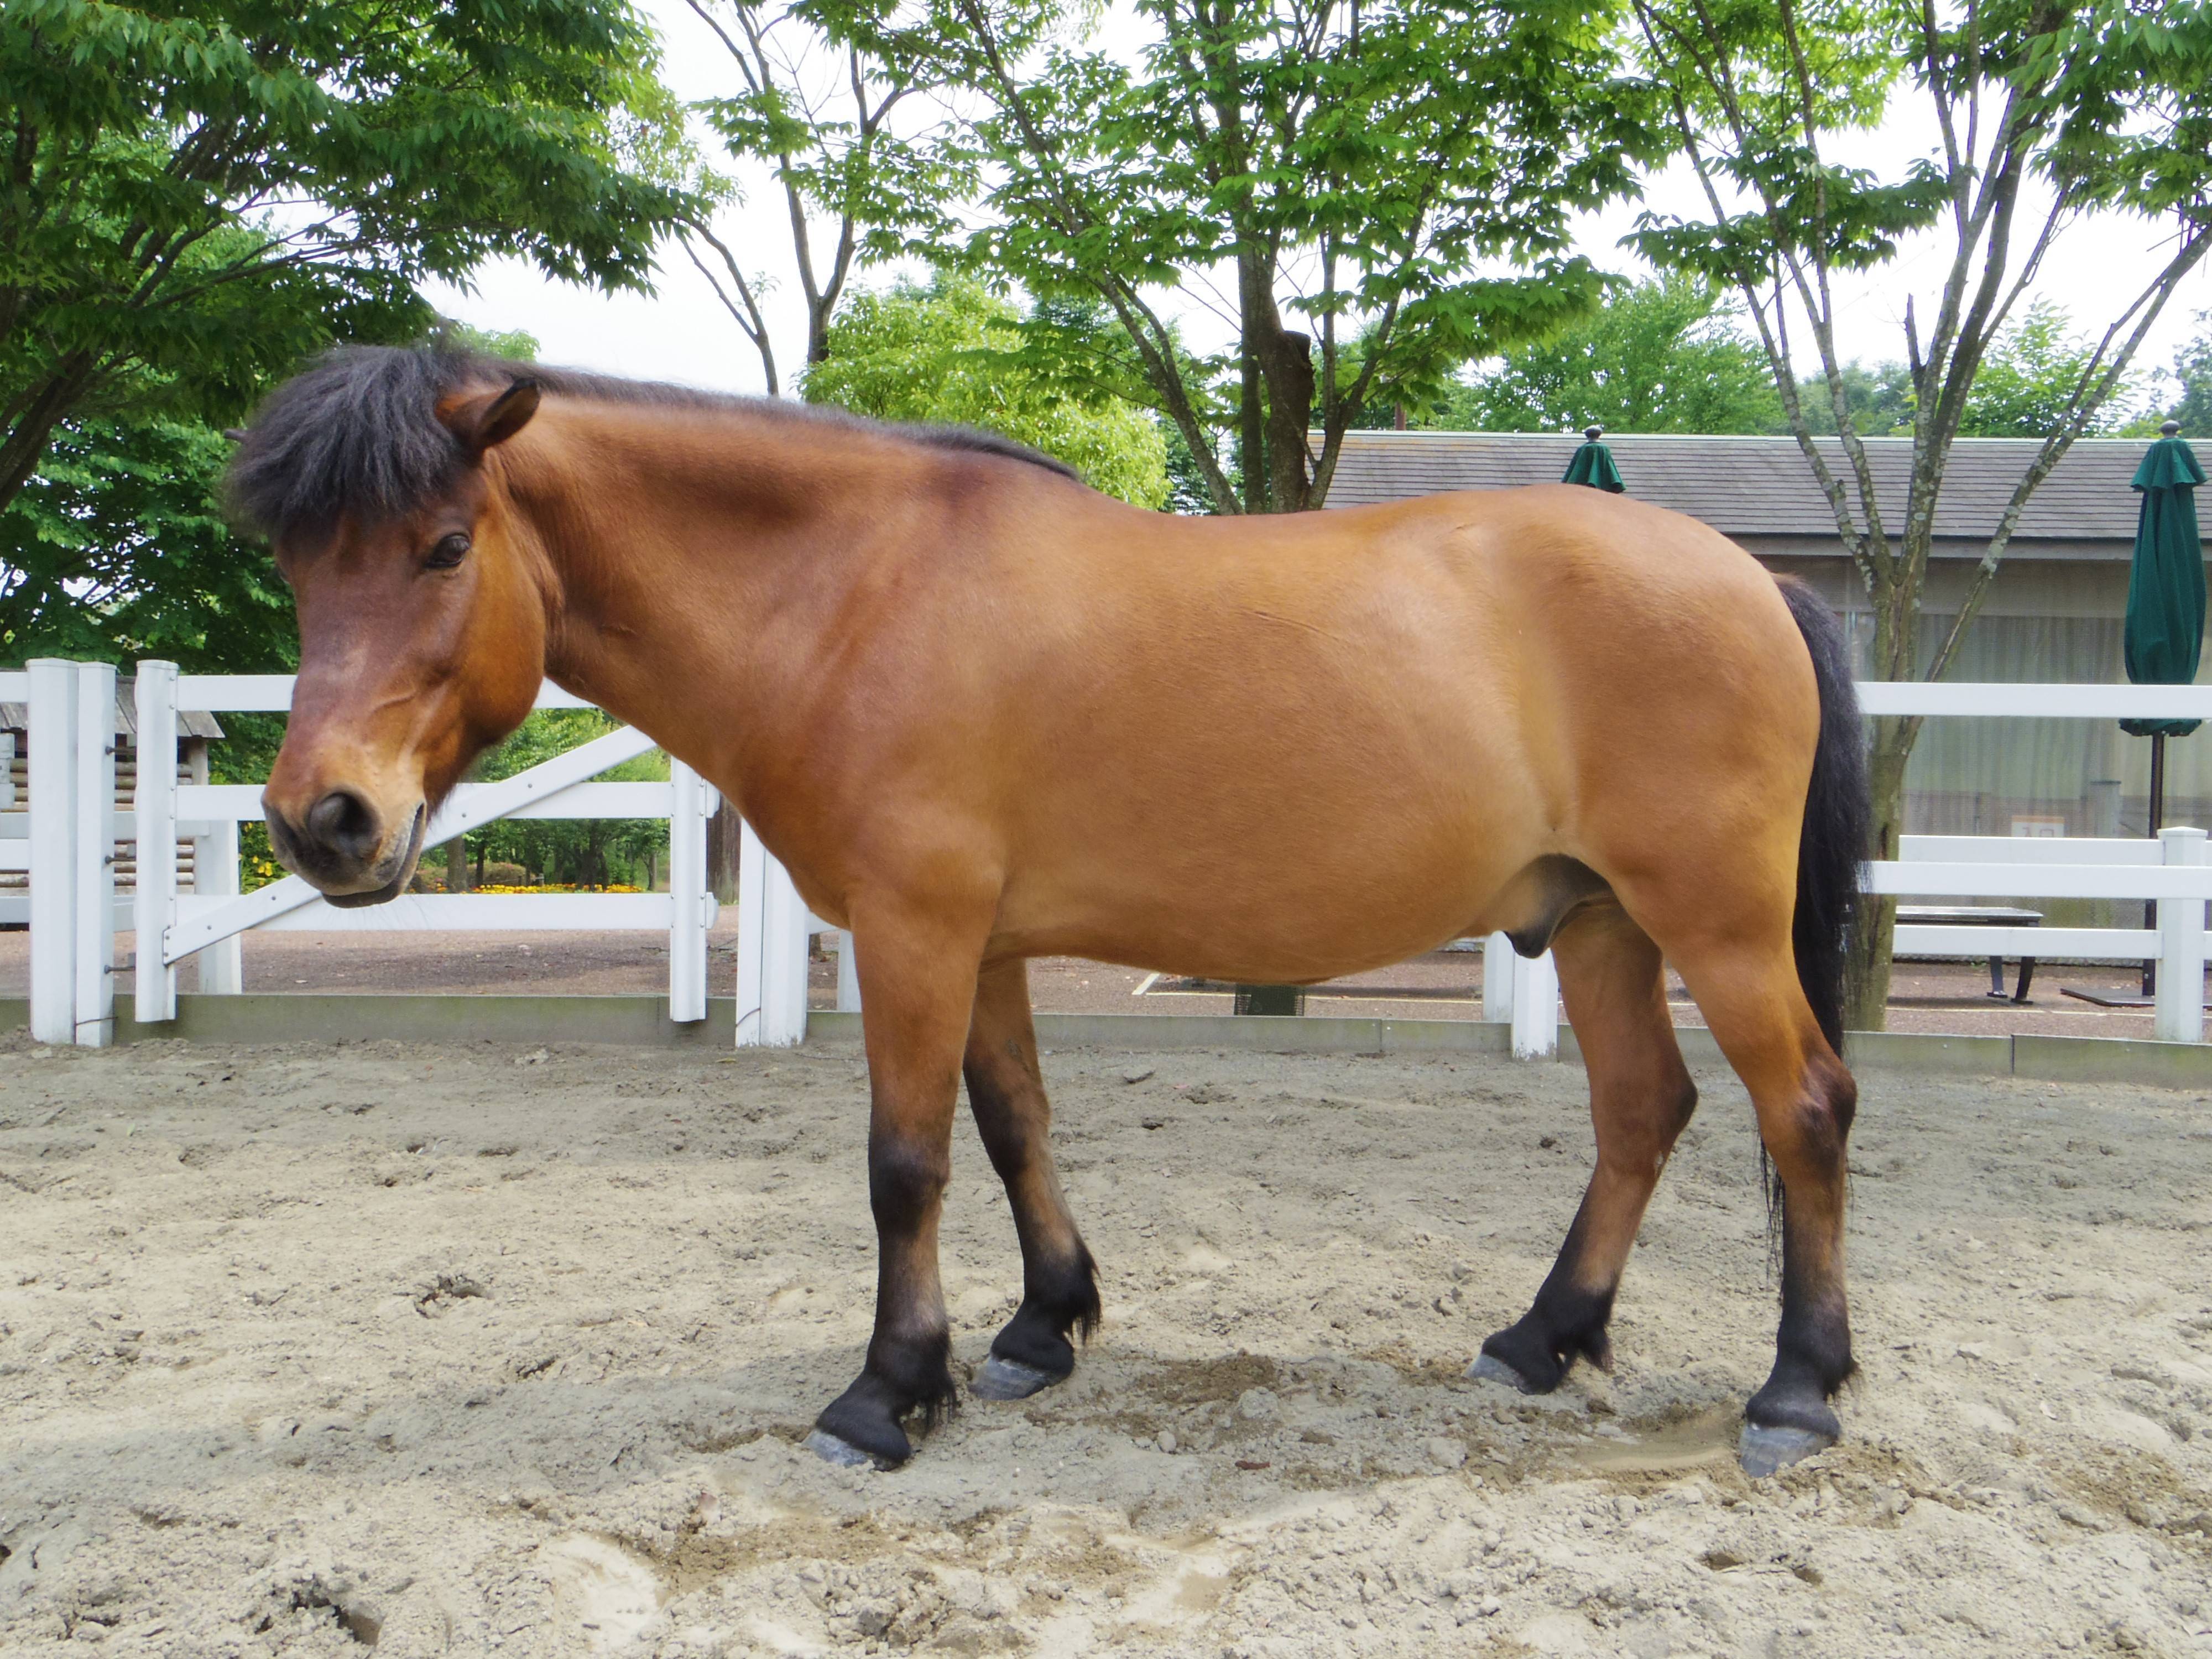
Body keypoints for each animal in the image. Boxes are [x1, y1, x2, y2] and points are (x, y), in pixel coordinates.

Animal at [238, 345, 1867, 1478]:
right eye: (301, 564)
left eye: (445, 545)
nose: (324, 822)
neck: (855, 595)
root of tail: (1756, 582)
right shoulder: (989, 944)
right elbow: (1014, 1121)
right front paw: (1036, 1331)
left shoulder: (913, 931)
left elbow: (904, 1164)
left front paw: (887, 1393)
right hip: (1598, 924)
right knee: (1643, 1109)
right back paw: (1539, 1341)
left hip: (1711, 925)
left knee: (1806, 1107)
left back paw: (1797, 1392)